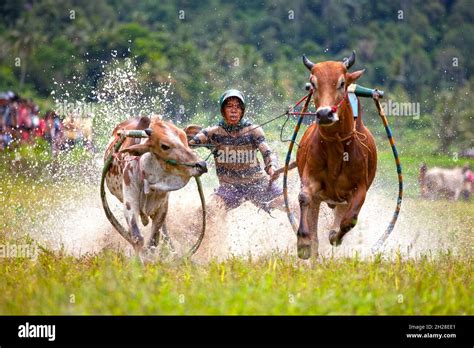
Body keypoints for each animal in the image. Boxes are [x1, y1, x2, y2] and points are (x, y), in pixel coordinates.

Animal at [296, 51, 378, 258]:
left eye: (342, 83)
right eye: (313, 83)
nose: (325, 114)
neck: (336, 147)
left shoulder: (359, 189)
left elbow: (350, 220)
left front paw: (335, 237)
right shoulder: (311, 180)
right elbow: (304, 197)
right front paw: (303, 241)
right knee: (316, 236)